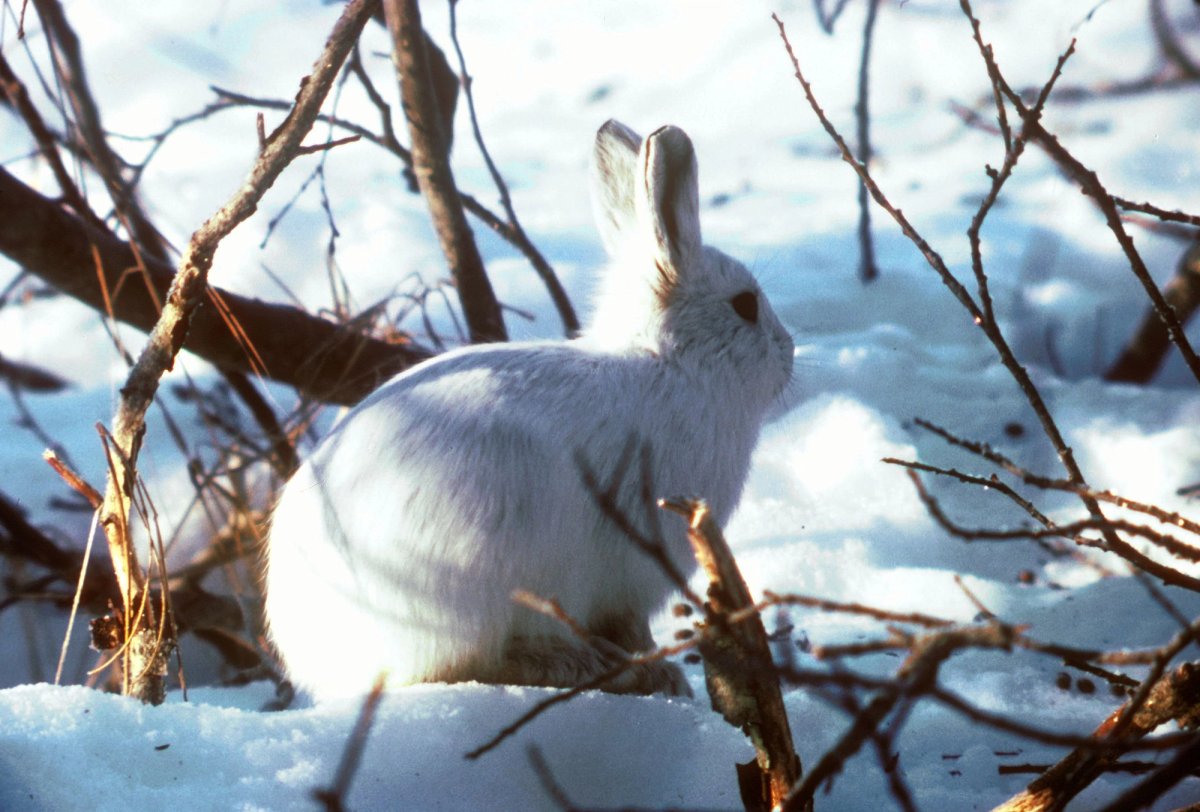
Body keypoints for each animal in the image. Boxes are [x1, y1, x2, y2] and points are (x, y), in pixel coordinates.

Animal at [264, 120, 794, 701]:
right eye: (745, 305)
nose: (789, 353)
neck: (671, 365)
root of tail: (328, 658)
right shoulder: (634, 568)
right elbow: (632, 625)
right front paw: (662, 671)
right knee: (462, 666)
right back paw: (583, 666)